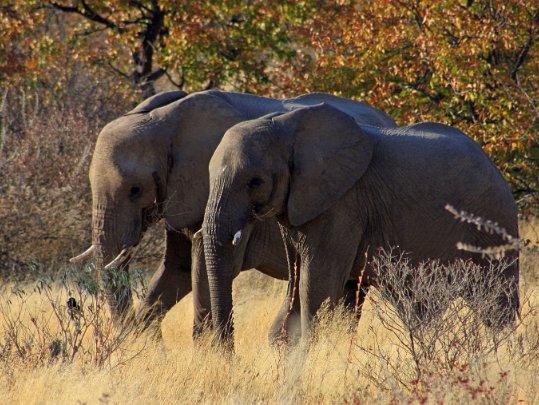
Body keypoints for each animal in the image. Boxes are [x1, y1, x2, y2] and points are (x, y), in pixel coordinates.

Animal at [201, 102, 520, 346]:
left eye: (255, 182)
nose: (227, 354)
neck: (285, 126)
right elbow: (296, 288)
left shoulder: (342, 204)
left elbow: (316, 288)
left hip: (493, 221)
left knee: (497, 307)